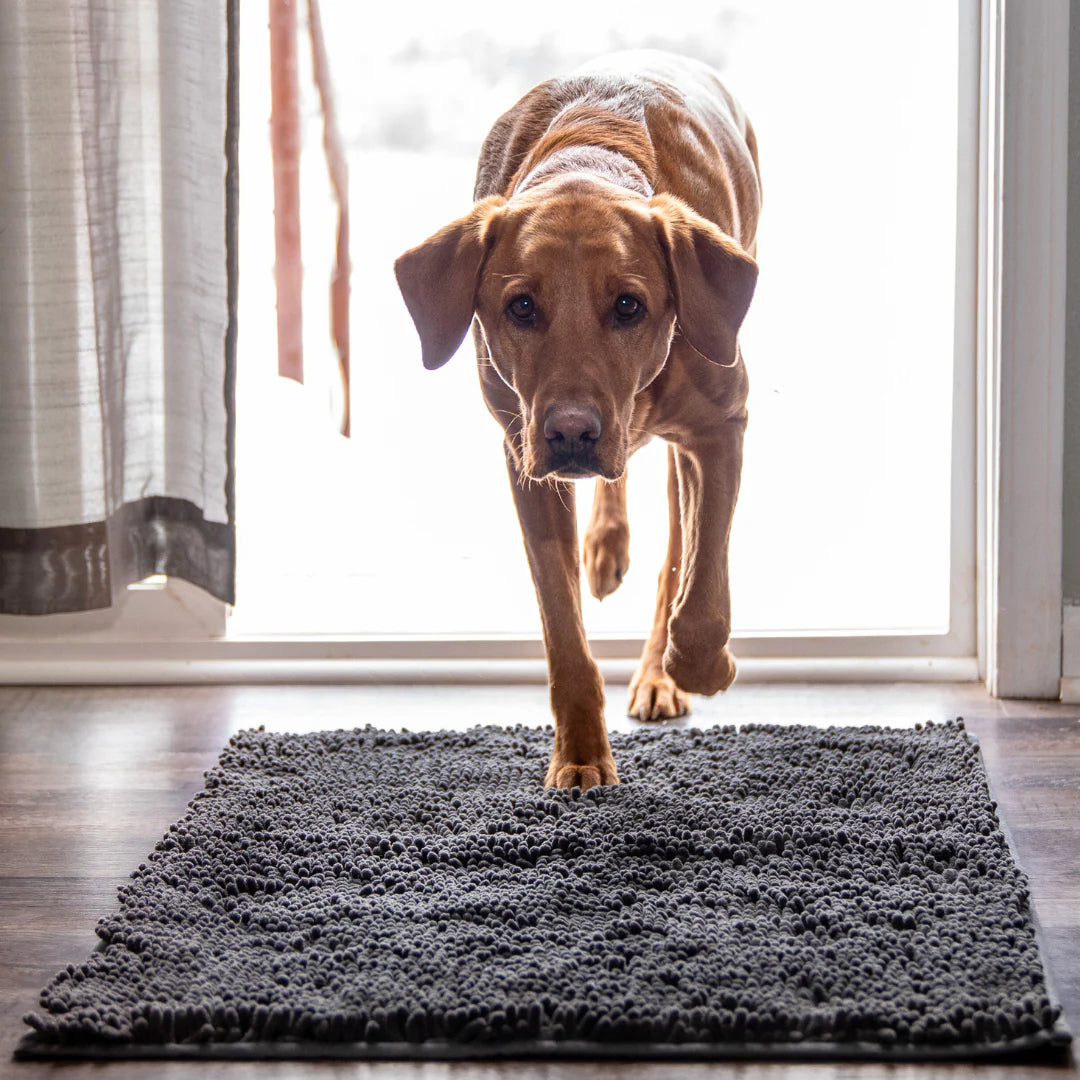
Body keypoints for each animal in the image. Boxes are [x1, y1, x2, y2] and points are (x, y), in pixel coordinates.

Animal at [395, 50, 760, 790]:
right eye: (521, 306)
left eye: (628, 305)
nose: (571, 434)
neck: (591, 157)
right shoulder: (525, 459)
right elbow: (563, 632)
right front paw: (583, 752)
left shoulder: (721, 427)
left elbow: (701, 594)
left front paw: (703, 668)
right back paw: (605, 543)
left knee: (678, 547)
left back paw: (659, 672)